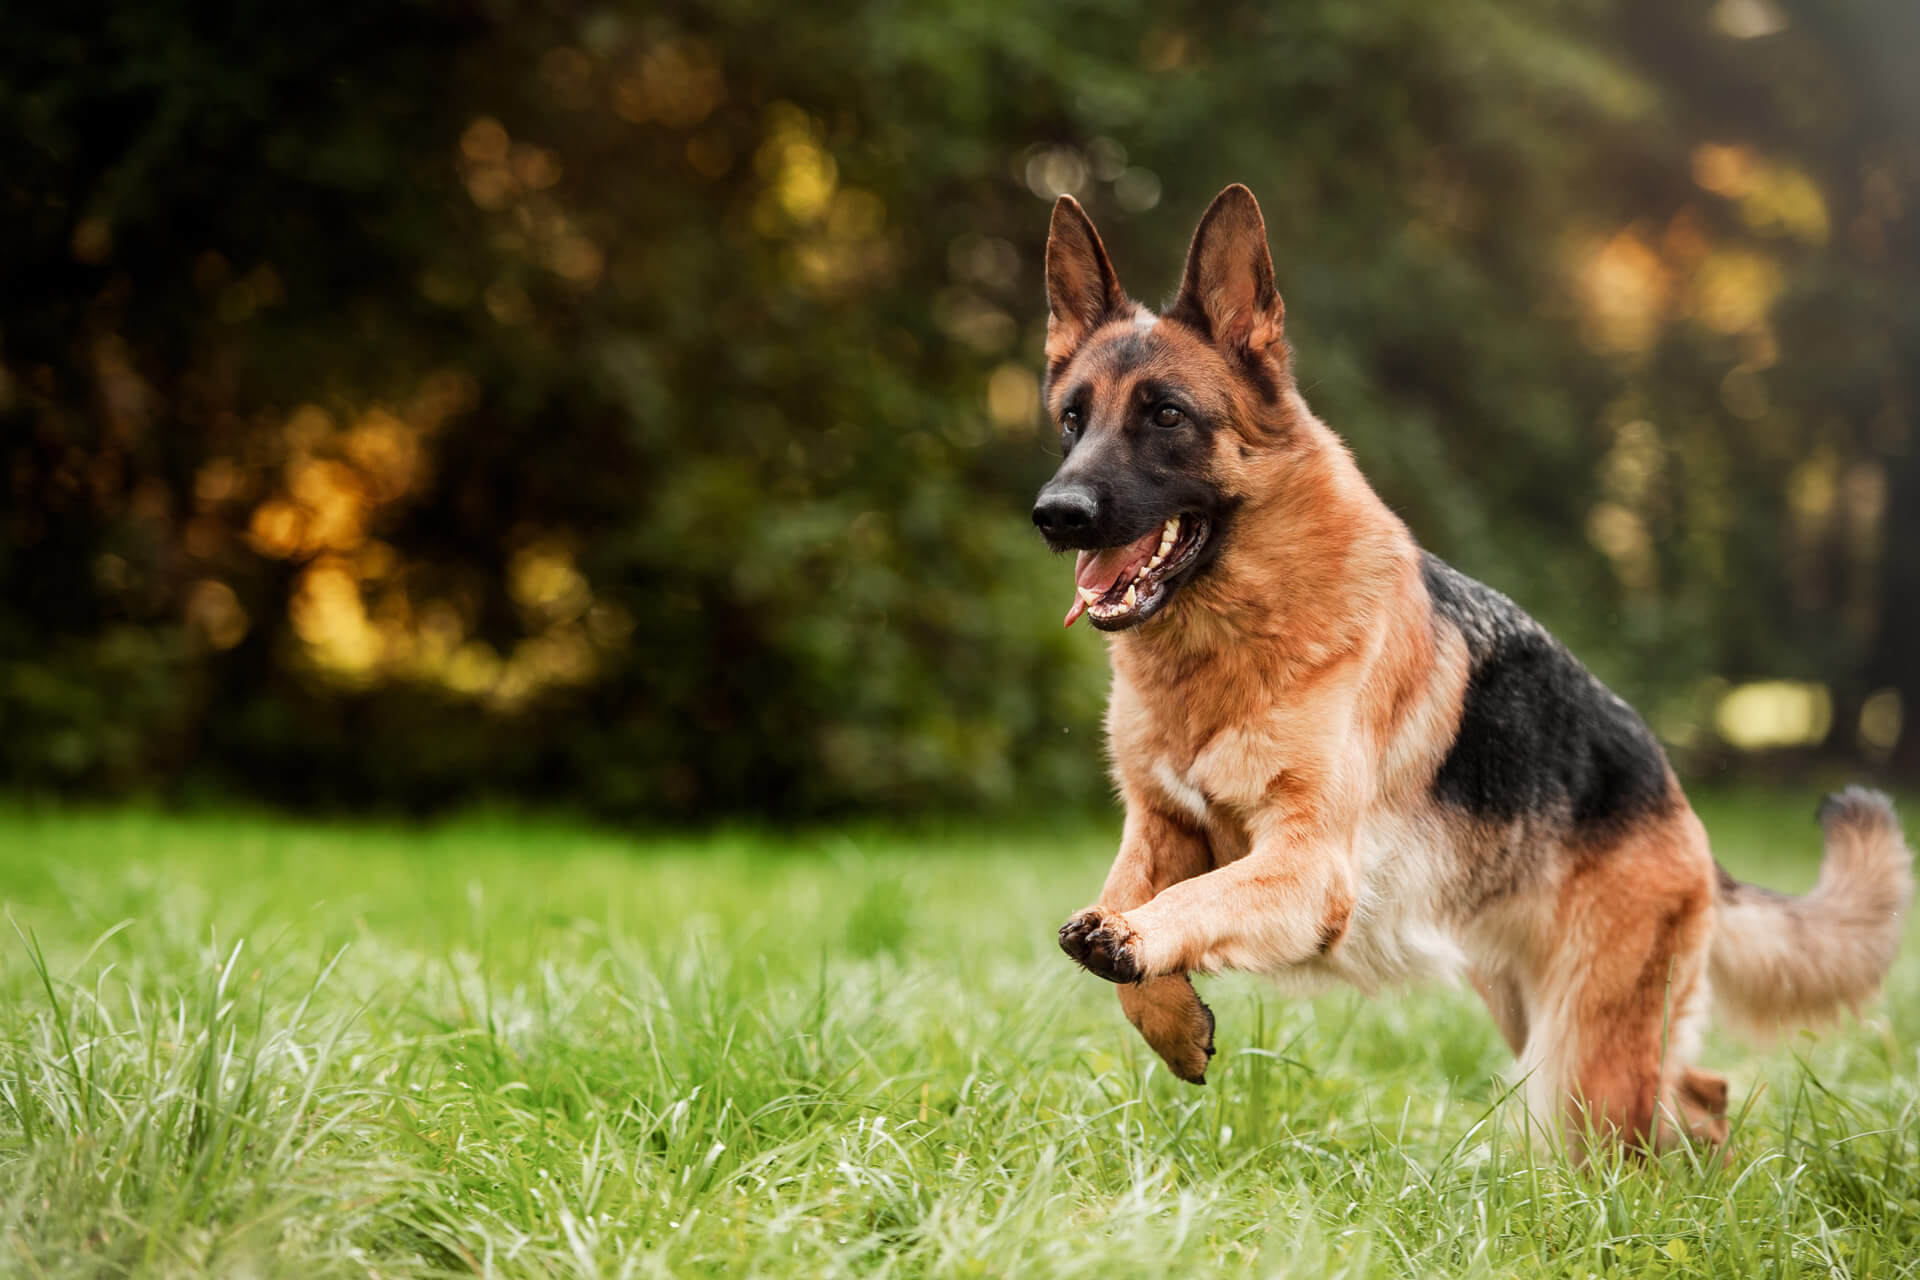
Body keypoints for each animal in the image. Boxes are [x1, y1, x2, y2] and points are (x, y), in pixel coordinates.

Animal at [1044, 185, 1912, 1159]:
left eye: (1166, 416)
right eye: (1073, 419)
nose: (1054, 514)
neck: (1229, 645)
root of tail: (1679, 804)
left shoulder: (1307, 867)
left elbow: (1190, 902)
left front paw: (1139, 945)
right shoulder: (1161, 826)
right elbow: (1126, 908)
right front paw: (1166, 1011)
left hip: (1581, 1053)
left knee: (1639, 1126)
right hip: (1534, 1008)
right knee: (1699, 1090)